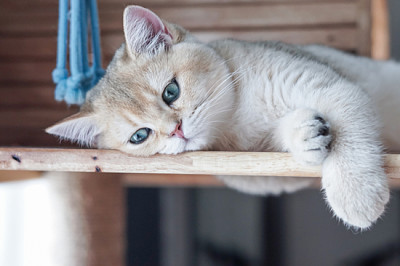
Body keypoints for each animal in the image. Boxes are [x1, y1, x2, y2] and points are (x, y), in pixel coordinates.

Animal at [45, 4, 400, 229]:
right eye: (140, 136)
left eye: (171, 92)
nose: (176, 131)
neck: (237, 115)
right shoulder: (255, 167)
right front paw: (304, 135)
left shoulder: (336, 88)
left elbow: (351, 137)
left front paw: (357, 196)